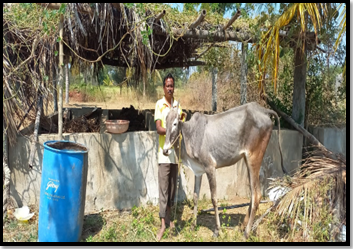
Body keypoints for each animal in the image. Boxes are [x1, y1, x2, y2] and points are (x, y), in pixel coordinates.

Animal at [162, 101, 286, 239]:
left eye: (175, 123)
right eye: (165, 122)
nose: (165, 150)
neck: (191, 133)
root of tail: (264, 110)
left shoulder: (210, 167)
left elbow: (214, 199)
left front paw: (217, 230)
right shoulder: (198, 171)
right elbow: (195, 196)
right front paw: (193, 226)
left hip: (254, 158)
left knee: (257, 195)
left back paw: (246, 233)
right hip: (246, 160)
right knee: (253, 194)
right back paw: (242, 227)